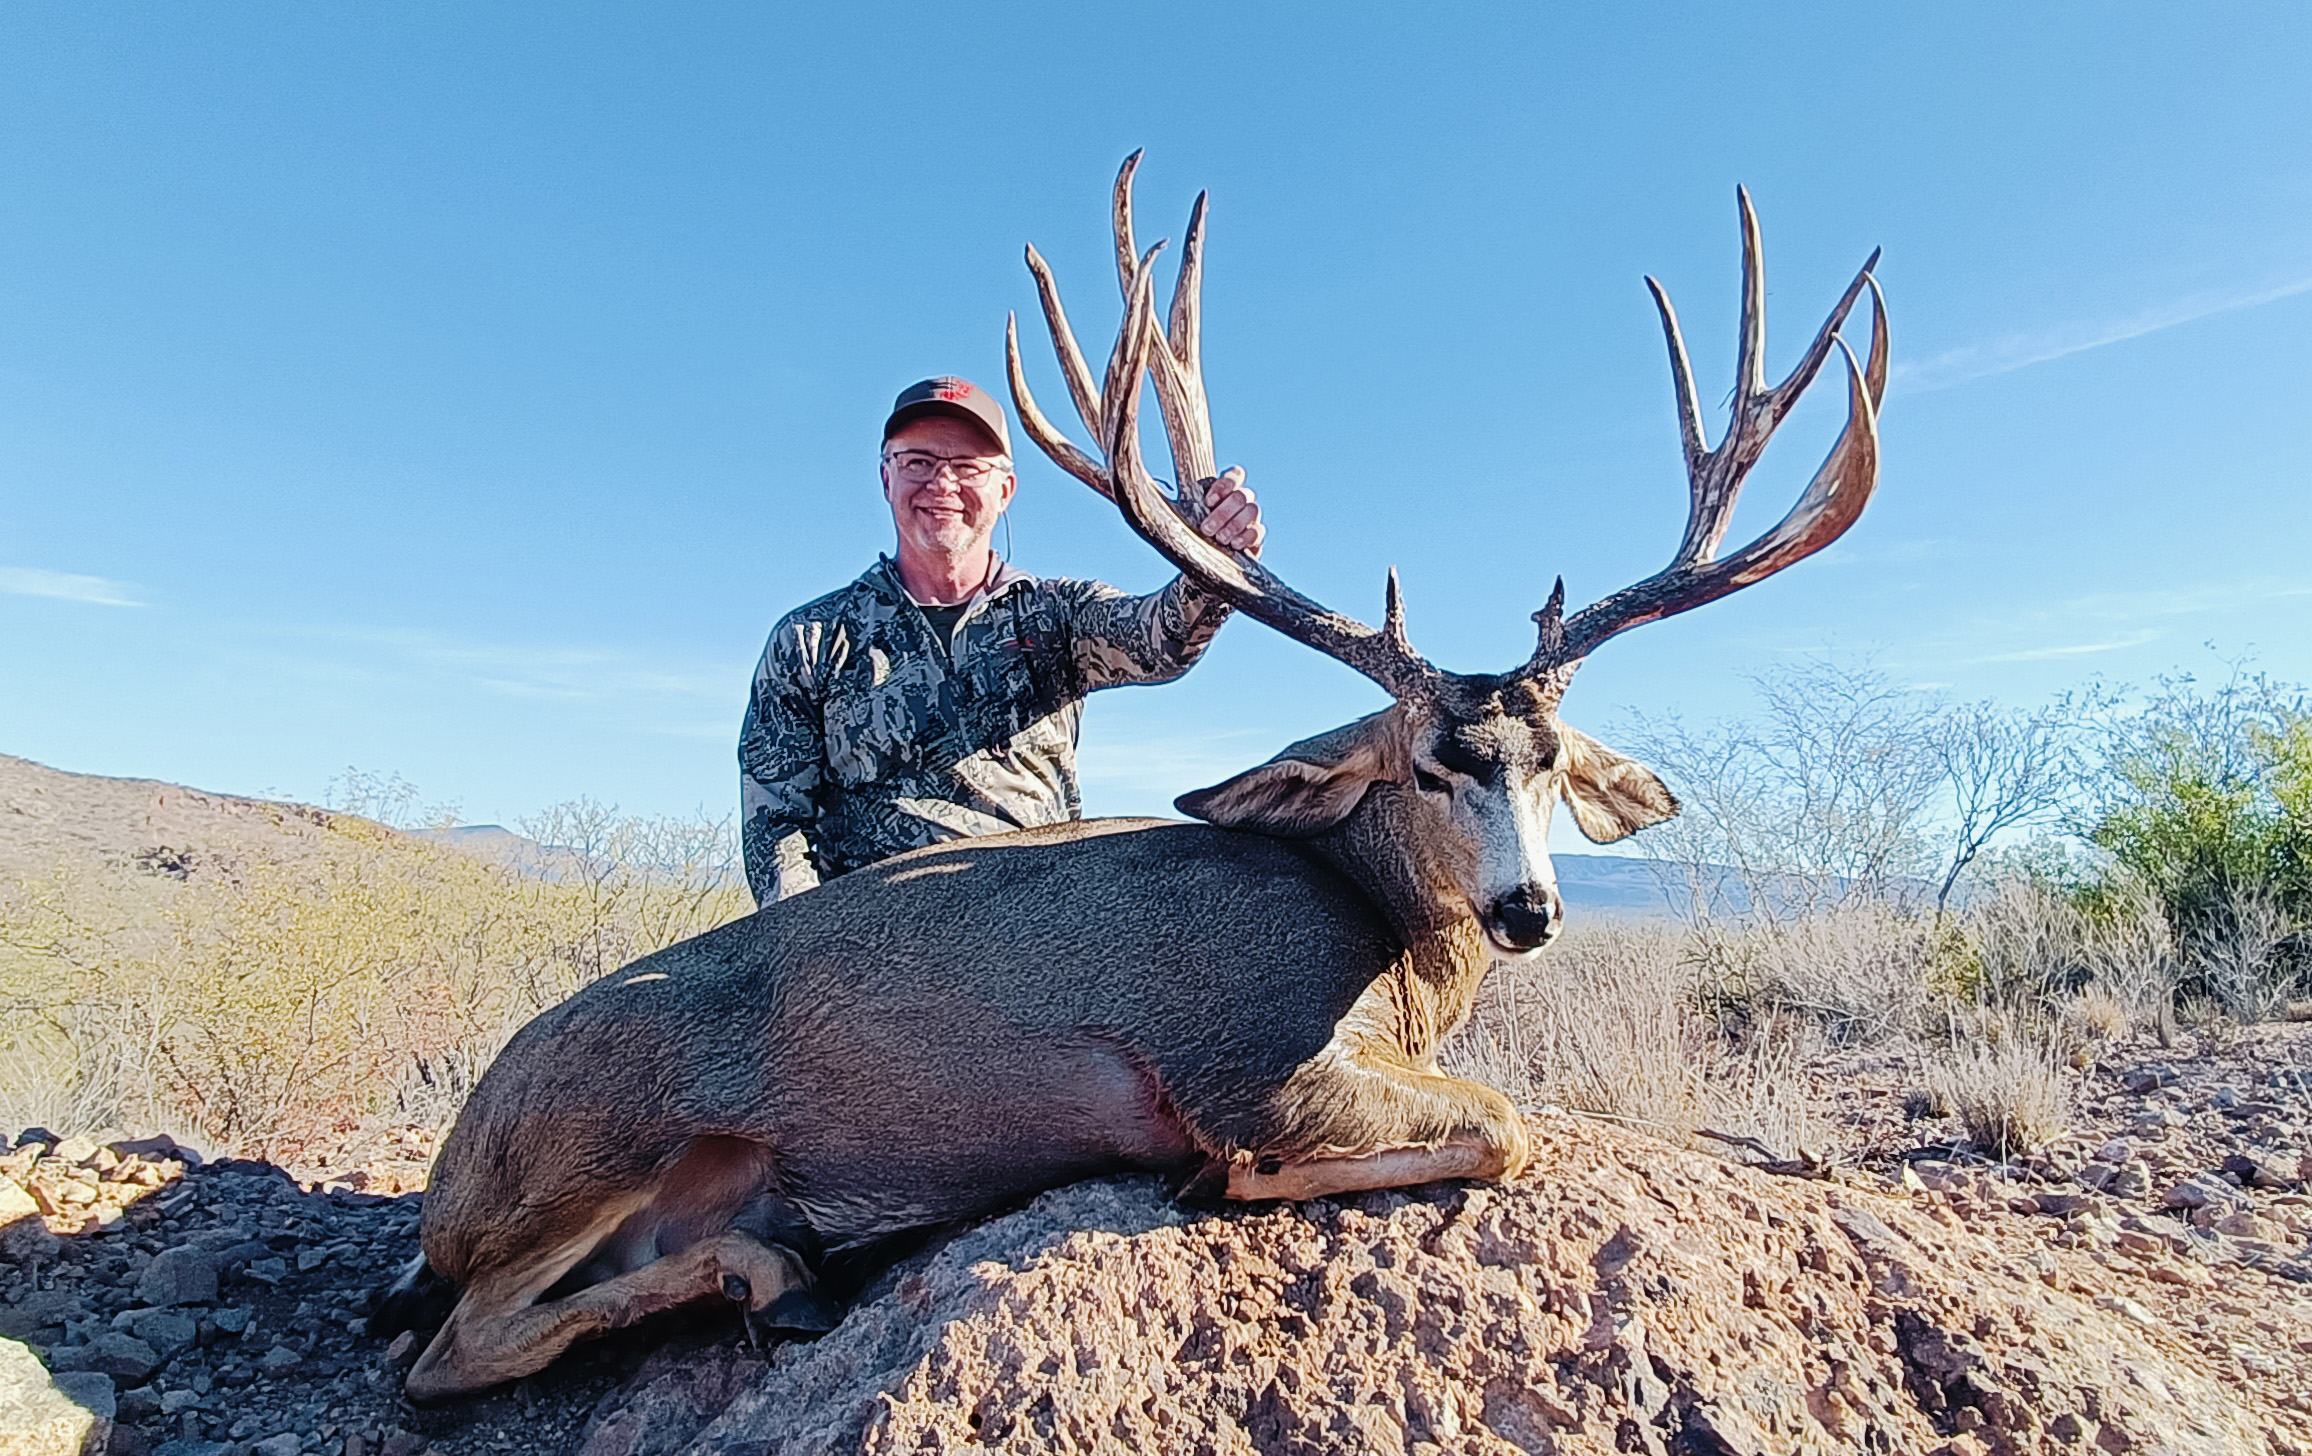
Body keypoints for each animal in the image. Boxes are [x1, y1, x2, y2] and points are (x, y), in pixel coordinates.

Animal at [380, 154, 1886, 1404]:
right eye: (1426, 763)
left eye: (1554, 762)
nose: (1529, 910)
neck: (1376, 930)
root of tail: (450, 1171)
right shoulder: (1247, 1051)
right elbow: (1503, 1125)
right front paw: (1231, 1178)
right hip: (592, 1140)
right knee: (452, 1348)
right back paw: (772, 1275)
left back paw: (777, 1268)